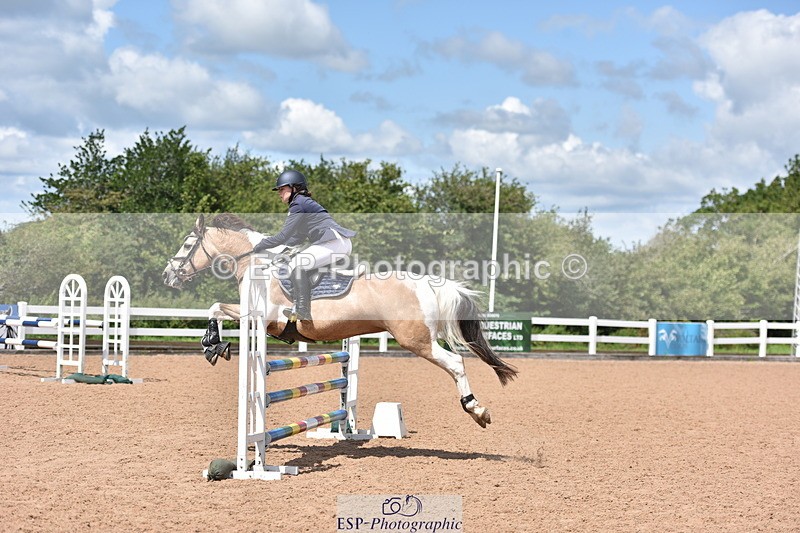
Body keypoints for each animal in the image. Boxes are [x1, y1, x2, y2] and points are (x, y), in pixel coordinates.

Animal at [162, 213, 518, 428]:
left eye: (187, 243)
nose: (168, 275)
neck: (257, 263)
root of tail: (427, 282)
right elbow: (216, 308)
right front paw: (213, 345)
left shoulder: (263, 318)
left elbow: (215, 308)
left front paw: (213, 345)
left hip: (417, 341)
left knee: (455, 362)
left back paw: (476, 410)